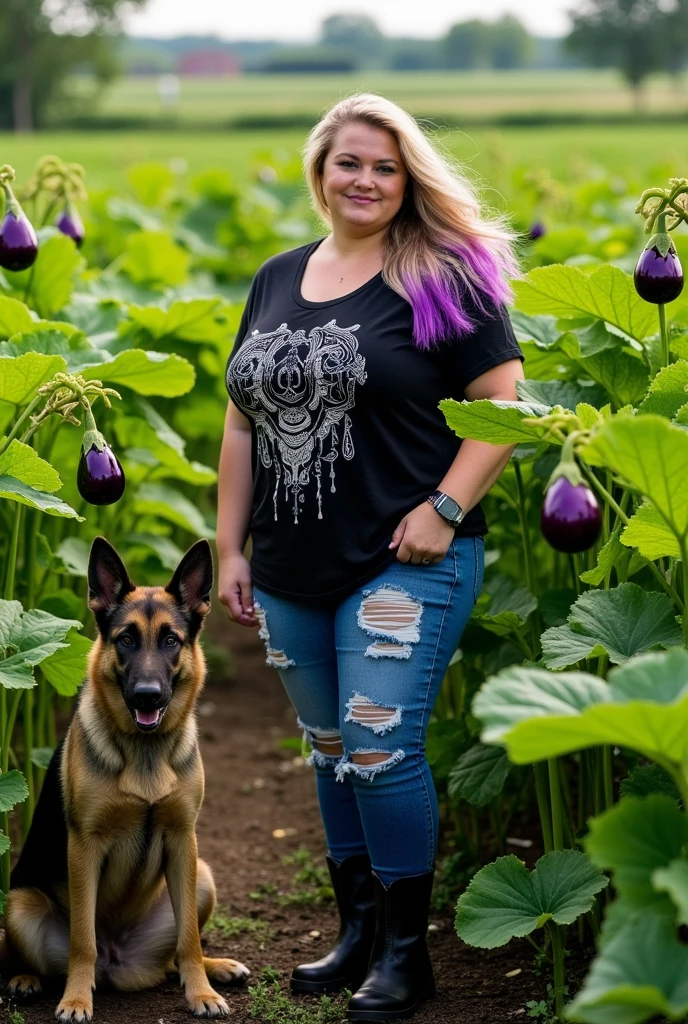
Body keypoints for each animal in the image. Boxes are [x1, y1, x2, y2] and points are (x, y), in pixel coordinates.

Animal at [1, 536, 248, 1015]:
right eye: (126, 640)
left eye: (170, 640)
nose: (146, 695)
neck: (144, 753)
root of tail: (118, 961)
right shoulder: (84, 848)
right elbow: (82, 939)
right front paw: (77, 999)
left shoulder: (182, 840)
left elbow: (190, 939)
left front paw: (201, 993)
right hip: (19, 904)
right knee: (23, 953)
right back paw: (25, 979)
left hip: (202, 876)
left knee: (176, 954)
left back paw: (215, 967)